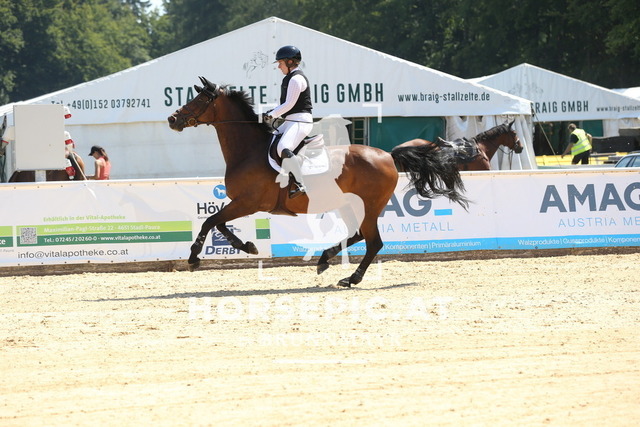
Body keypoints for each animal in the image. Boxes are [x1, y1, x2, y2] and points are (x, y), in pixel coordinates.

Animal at [168, 76, 469, 287]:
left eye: (198, 100)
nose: (172, 119)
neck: (248, 150)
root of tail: (387, 156)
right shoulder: (241, 202)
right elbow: (219, 223)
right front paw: (248, 246)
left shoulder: (249, 202)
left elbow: (210, 221)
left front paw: (194, 258)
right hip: (348, 205)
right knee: (359, 235)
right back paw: (325, 260)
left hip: (369, 206)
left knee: (373, 242)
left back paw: (350, 278)